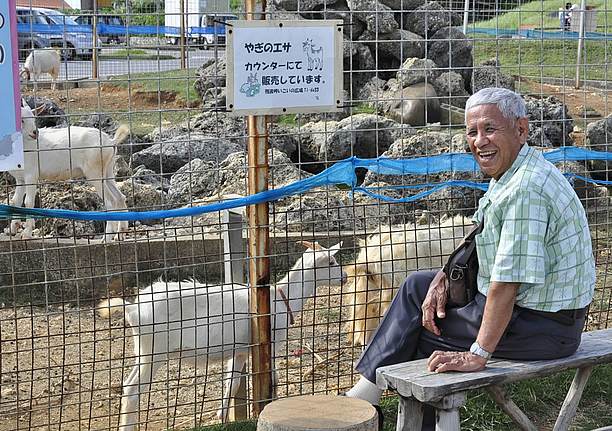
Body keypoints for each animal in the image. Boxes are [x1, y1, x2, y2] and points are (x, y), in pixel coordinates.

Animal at [6, 102, 129, 243]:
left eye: (34, 118)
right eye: (21, 120)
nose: (35, 133)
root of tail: (111, 142)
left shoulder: (31, 175)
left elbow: (28, 202)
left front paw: (26, 234)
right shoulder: (20, 179)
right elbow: (15, 202)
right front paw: (12, 230)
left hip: (95, 172)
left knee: (110, 201)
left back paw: (106, 238)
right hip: (108, 171)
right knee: (120, 197)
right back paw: (120, 234)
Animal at [95, 241, 344, 430]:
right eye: (331, 262)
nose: (344, 277)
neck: (281, 297)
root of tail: (133, 309)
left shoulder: (241, 351)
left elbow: (231, 384)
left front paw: (222, 418)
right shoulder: (271, 344)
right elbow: (273, 379)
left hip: (143, 351)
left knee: (127, 385)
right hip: (154, 351)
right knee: (133, 390)